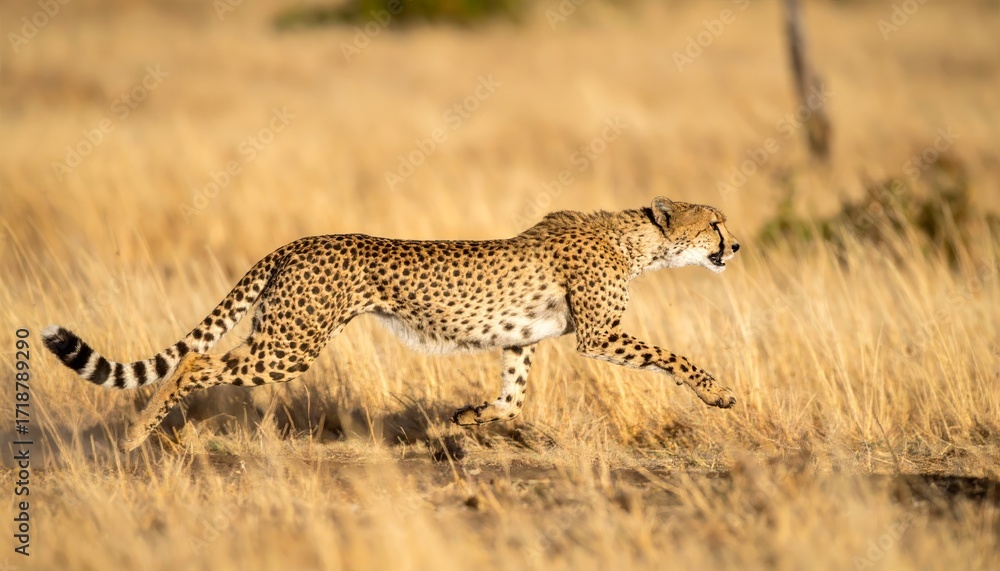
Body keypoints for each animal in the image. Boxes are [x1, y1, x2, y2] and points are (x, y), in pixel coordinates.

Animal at [41, 196, 740, 452]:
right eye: (714, 222)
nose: (734, 247)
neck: (639, 241)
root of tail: (298, 241)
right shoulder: (599, 336)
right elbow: (675, 357)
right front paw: (720, 393)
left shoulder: (523, 339)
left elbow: (511, 398)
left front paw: (469, 418)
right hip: (293, 342)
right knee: (195, 360)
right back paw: (137, 436)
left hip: (283, 336)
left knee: (198, 359)